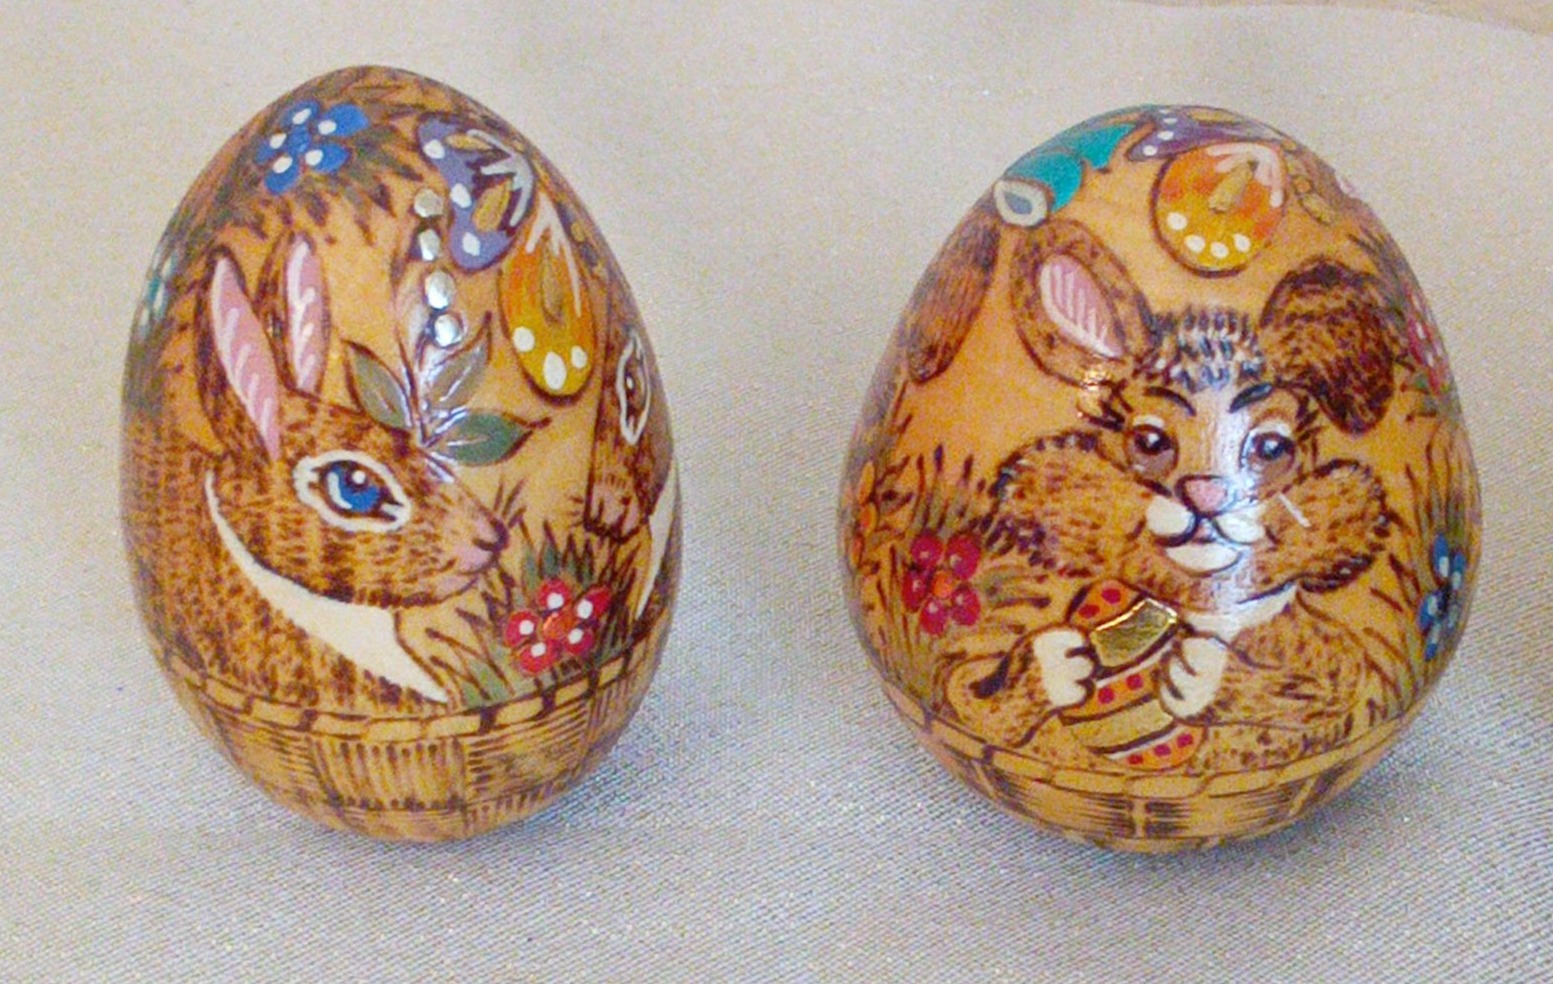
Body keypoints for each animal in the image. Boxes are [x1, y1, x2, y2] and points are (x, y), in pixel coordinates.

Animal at [941, 216, 1403, 773]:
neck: (1192, 604)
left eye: (1270, 446)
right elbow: (969, 692)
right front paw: (1055, 664)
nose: (1206, 493)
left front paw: (1205, 678)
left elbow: (1330, 682)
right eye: (1149, 441)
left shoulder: (1328, 659)